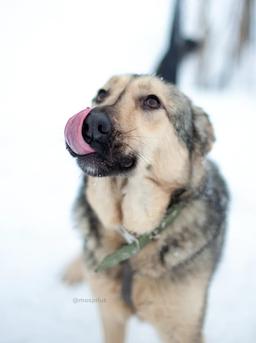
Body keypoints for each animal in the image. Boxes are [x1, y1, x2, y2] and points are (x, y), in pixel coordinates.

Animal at [63, 75, 229, 343]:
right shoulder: (110, 314)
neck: (132, 240)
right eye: (101, 94)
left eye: (152, 101)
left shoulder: (183, 329)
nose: (91, 122)